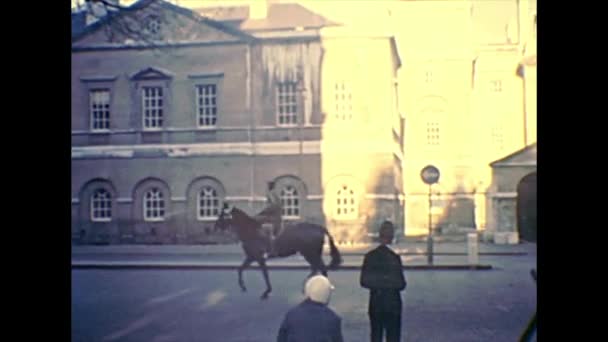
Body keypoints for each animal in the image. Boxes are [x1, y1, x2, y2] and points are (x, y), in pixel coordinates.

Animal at [216, 206, 344, 300]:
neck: (251, 231)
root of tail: (319, 228)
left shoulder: (258, 257)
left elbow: (264, 274)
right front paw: (243, 286)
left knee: (320, 267)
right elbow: (240, 269)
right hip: (310, 253)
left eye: (223, 215)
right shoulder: (251, 257)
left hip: (310, 253)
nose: (215, 226)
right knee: (316, 267)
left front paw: (266, 292)